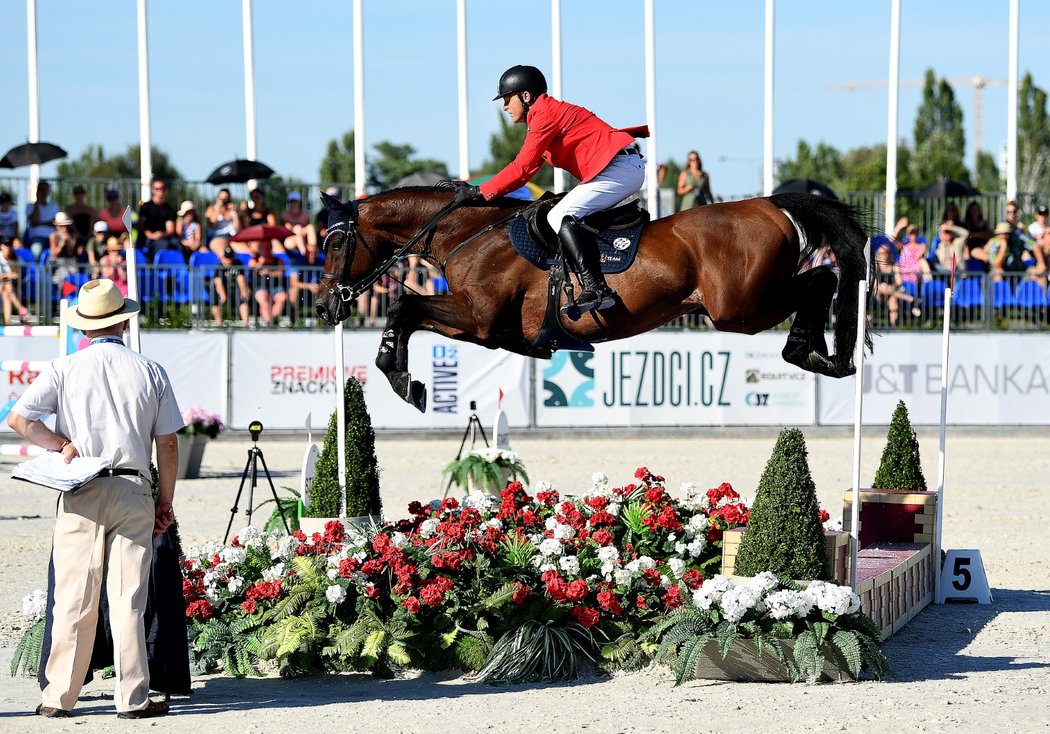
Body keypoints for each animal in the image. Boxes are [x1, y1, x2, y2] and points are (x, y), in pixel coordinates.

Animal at [315, 187, 873, 413]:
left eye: (336, 243)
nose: (323, 308)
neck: (469, 234)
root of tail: (772, 203)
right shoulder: (481, 327)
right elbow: (407, 311)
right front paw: (403, 376)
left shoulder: (479, 320)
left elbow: (403, 307)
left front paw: (400, 377)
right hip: (745, 305)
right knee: (821, 280)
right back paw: (821, 353)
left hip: (741, 308)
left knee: (822, 278)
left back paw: (815, 351)